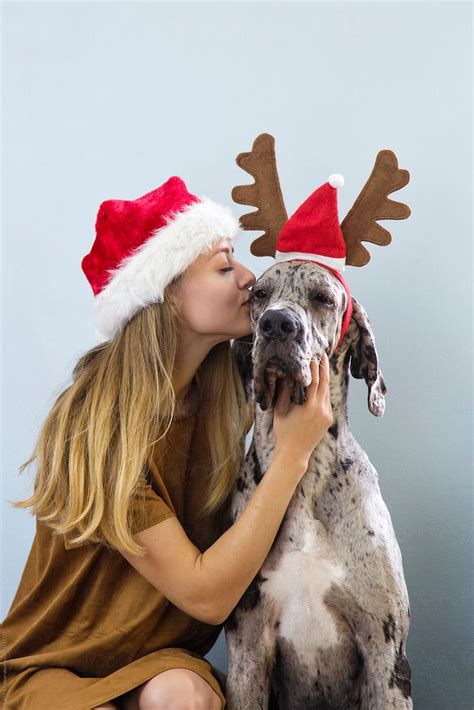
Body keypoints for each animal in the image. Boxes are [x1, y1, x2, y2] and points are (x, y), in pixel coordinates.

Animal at [221, 135, 412, 710]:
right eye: (258, 294)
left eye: (324, 298)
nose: (276, 325)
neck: (302, 473)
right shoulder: (246, 648)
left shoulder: (385, 655)